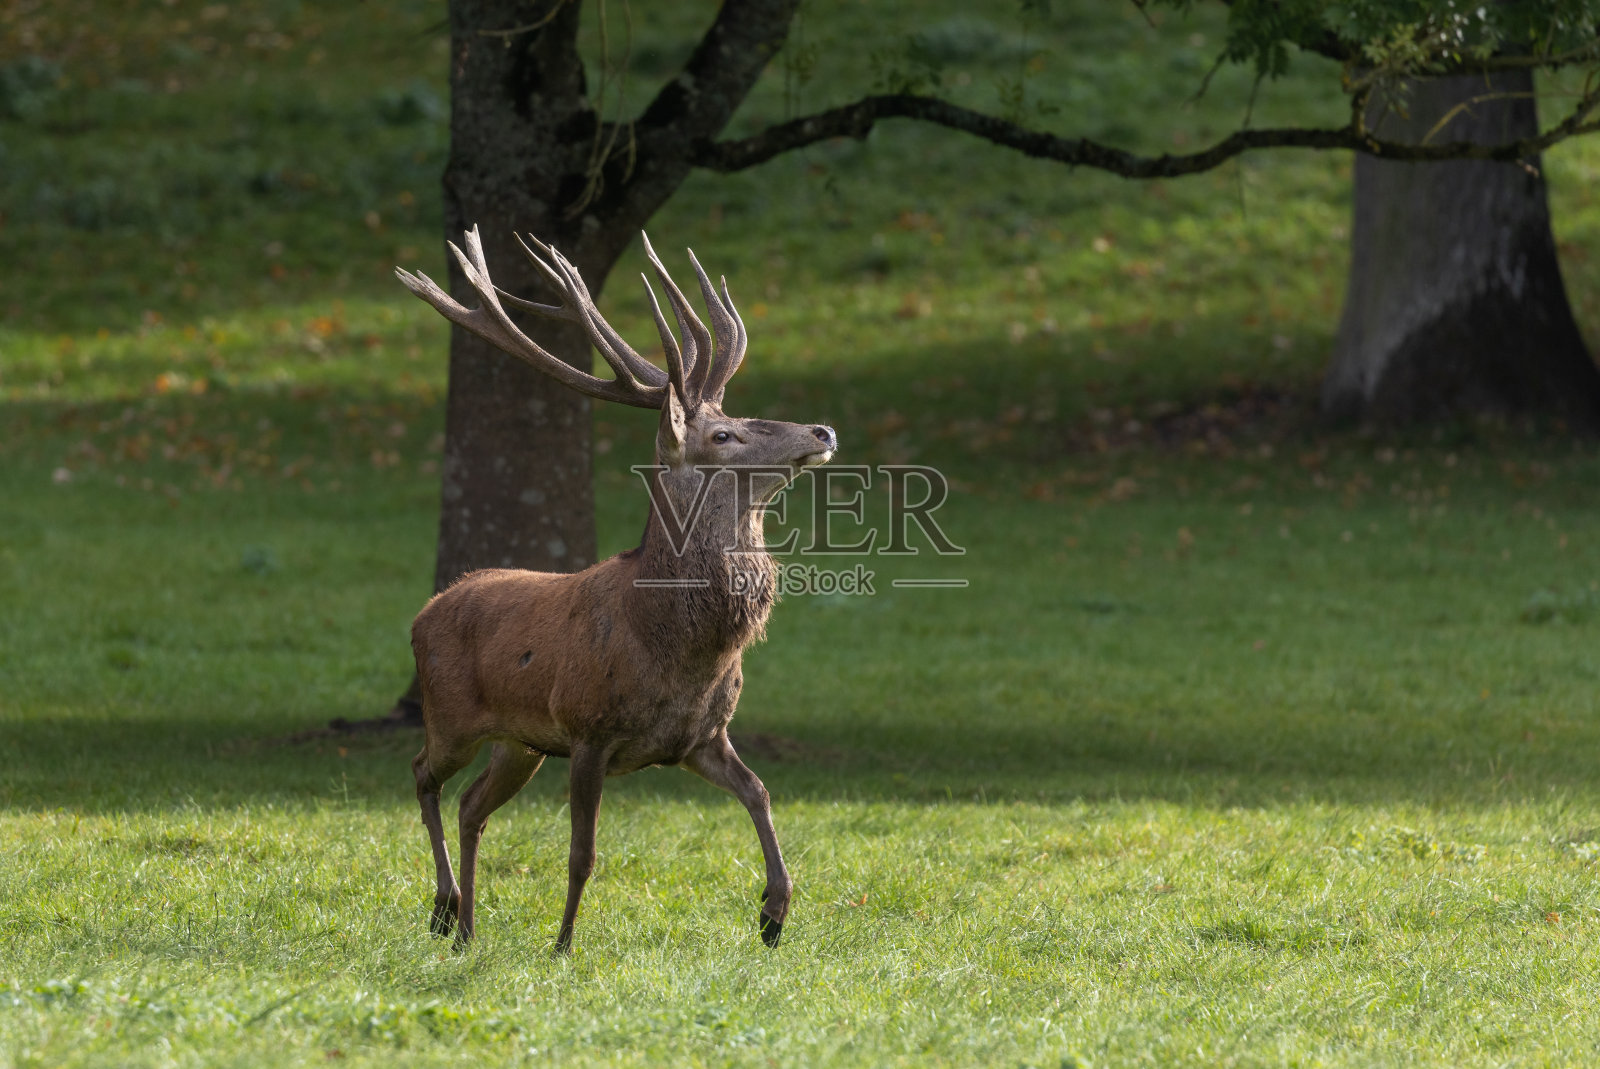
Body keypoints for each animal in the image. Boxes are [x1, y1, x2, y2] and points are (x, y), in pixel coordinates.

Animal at [394, 226, 836, 953]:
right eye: (723, 432)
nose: (822, 430)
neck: (677, 646)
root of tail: (422, 613)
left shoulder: (699, 737)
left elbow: (761, 792)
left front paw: (774, 911)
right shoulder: (589, 730)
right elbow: (584, 852)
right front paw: (562, 943)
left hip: (518, 743)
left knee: (470, 803)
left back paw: (467, 928)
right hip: (452, 715)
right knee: (422, 773)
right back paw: (444, 905)